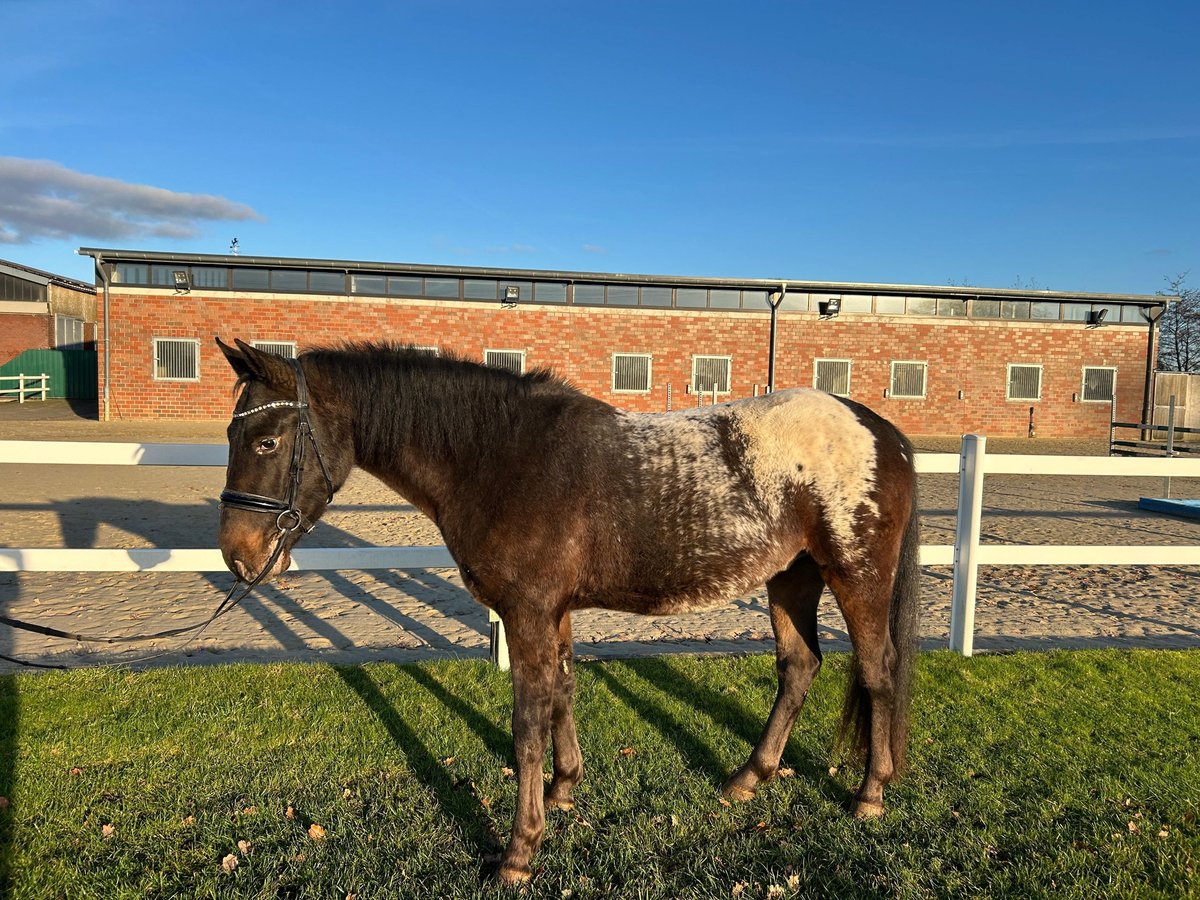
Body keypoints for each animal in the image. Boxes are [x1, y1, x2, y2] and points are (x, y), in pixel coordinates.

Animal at [216, 336, 916, 883]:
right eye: (233, 434)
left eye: (268, 441)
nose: (238, 554)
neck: (501, 456)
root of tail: (883, 432)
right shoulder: (554, 612)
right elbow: (563, 690)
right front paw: (563, 791)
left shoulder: (527, 612)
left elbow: (527, 723)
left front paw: (519, 851)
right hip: (790, 579)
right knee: (800, 666)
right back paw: (750, 777)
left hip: (856, 576)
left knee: (878, 669)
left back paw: (871, 794)